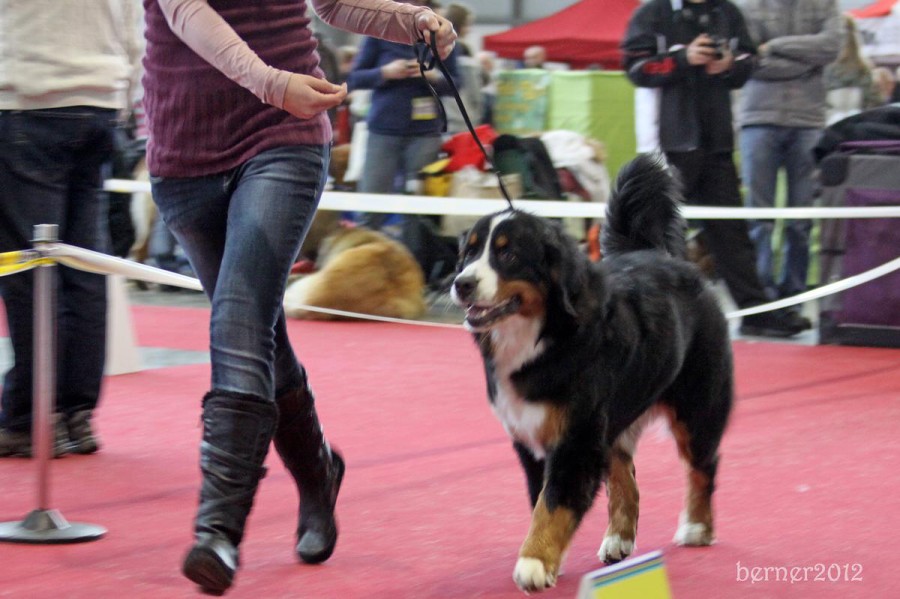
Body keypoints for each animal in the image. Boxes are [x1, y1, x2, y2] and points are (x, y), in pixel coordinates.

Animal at [454, 155, 736, 596]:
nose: (461, 283)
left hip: (697, 407)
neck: (539, 338)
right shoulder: (532, 438)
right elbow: (542, 499)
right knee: (626, 476)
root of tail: (667, 257)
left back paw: (697, 526)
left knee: (703, 465)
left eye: (508, 255)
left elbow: (553, 503)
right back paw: (619, 539)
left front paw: (534, 562)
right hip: (613, 418)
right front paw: (546, 559)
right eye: (468, 254)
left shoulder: (575, 438)